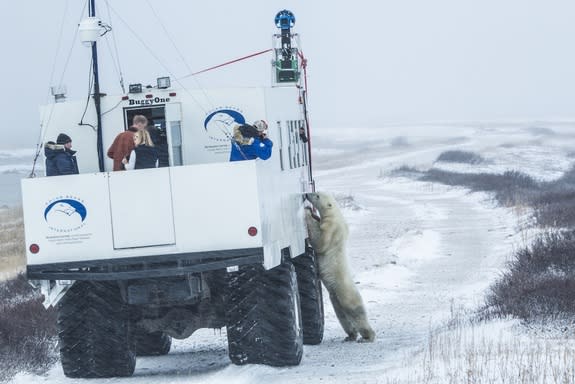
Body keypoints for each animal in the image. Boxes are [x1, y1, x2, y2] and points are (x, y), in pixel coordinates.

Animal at [304, 192, 376, 342]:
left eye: (317, 195)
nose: (307, 194)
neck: (336, 215)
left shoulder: (331, 228)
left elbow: (320, 242)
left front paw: (308, 213)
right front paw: (313, 214)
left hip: (345, 292)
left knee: (355, 312)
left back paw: (367, 336)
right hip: (335, 297)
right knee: (342, 315)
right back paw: (350, 336)